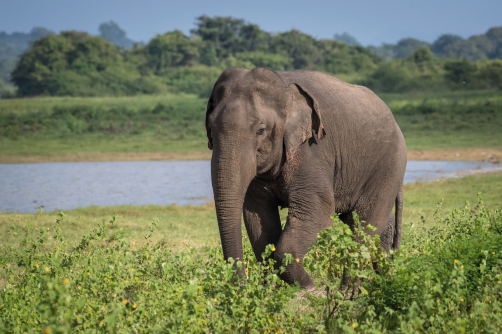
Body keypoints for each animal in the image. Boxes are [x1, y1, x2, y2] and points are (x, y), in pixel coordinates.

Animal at [206, 68, 406, 290]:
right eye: (210, 129)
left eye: (261, 130)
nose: (242, 286)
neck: (284, 86)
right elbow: (258, 219)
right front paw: (275, 290)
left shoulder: (312, 150)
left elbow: (317, 211)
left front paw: (309, 286)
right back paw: (381, 280)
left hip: (389, 165)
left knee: (364, 222)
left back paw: (348, 291)